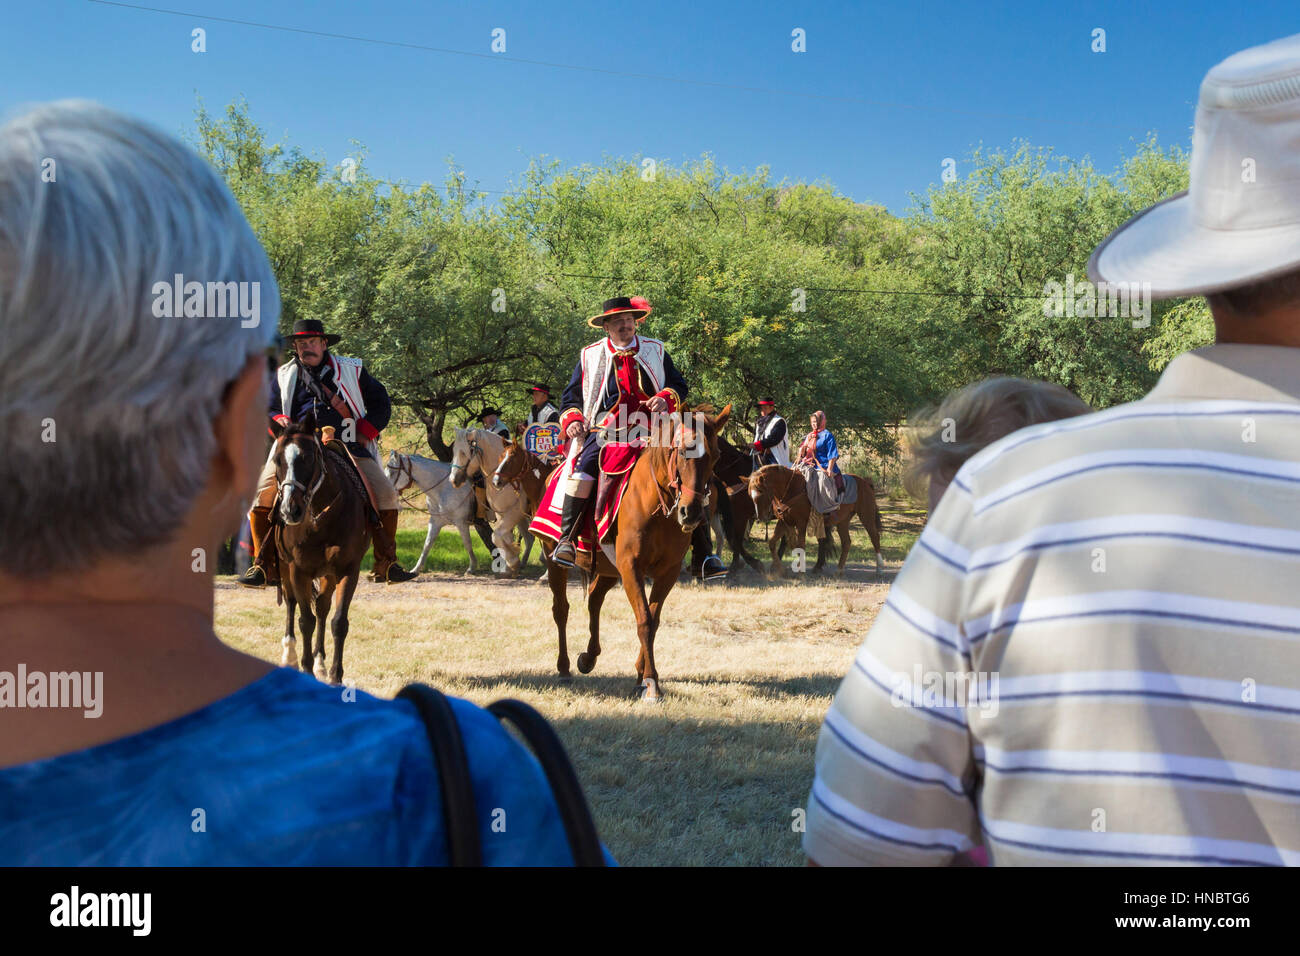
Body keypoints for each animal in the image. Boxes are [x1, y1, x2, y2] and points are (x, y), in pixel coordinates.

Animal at [271, 418, 374, 681]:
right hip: (285, 567)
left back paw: (320, 662)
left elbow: (338, 622)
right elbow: (304, 620)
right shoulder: (298, 571)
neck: (320, 518)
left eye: (308, 458)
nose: (289, 511)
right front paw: (305, 667)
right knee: (291, 603)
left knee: (322, 608)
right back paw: (289, 656)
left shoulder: (348, 570)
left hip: (328, 574)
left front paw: (335, 675)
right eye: (277, 460)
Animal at [452, 429, 533, 574]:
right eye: (454, 450)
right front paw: (510, 565)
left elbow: (496, 536)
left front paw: (512, 561)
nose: (453, 479)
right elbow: (503, 538)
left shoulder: (514, 513)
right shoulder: (501, 514)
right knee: (530, 538)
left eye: (464, 452)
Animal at [538, 403, 733, 702]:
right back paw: (564, 668)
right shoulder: (631, 567)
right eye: (682, 451)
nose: (691, 513)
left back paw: (588, 658)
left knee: (594, 599)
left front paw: (642, 676)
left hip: (608, 568)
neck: (657, 506)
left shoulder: (667, 572)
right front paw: (651, 682)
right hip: (554, 561)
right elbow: (643, 620)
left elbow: (654, 620)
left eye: (716, 456)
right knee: (561, 609)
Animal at [748, 463, 889, 574]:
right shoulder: (784, 521)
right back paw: (839, 570)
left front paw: (800, 570)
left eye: (761, 493)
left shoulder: (801, 523)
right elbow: (772, 543)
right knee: (846, 542)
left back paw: (879, 568)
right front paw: (779, 569)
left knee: (874, 537)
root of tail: (865, 482)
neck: (793, 488)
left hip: (866, 515)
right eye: (750, 495)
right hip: (842, 521)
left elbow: (801, 546)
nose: (760, 517)